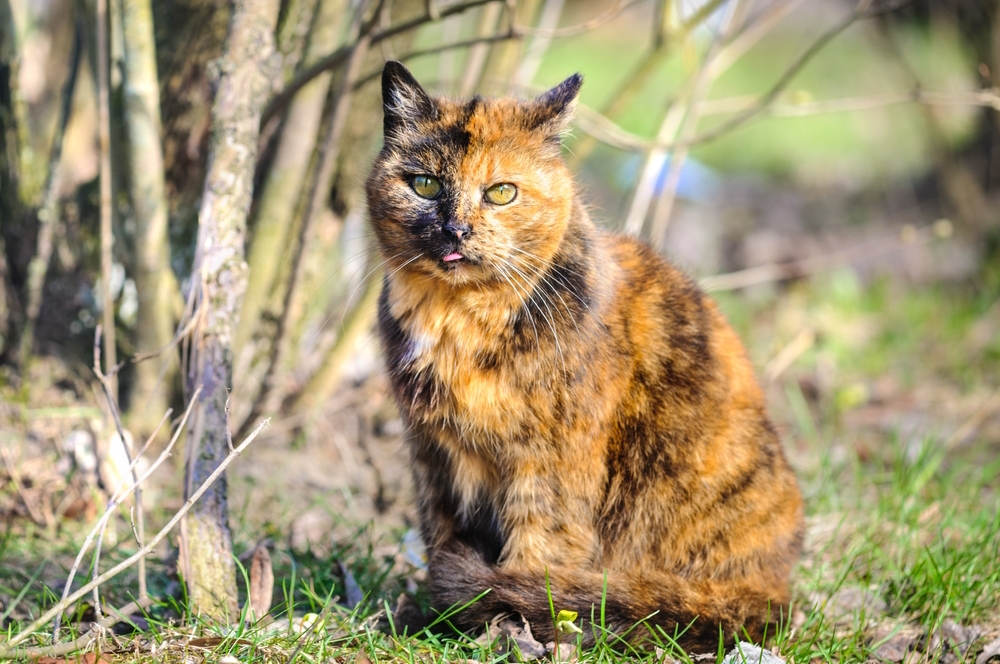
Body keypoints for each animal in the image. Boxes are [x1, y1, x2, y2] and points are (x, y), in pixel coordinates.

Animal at [368, 61, 804, 652]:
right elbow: (441, 536)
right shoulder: (432, 453)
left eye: (501, 192)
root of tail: (777, 588)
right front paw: (435, 621)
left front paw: (510, 628)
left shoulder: (550, 461)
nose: (455, 229)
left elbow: (537, 556)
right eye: (425, 184)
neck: (457, 321)